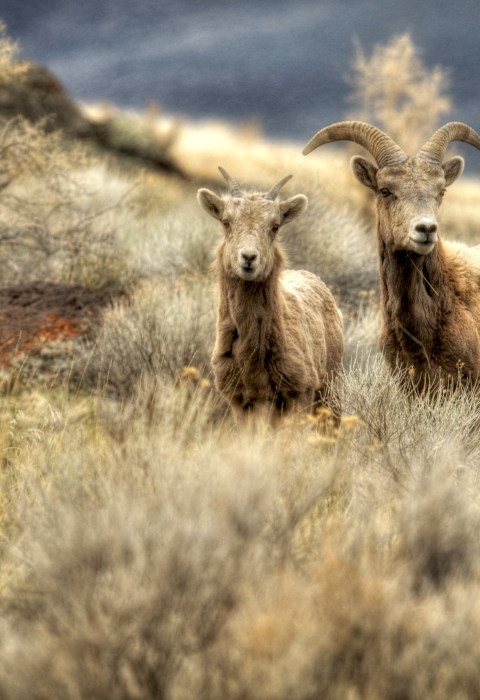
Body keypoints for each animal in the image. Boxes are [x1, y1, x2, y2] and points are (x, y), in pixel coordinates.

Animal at [197, 167, 344, 424]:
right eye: (226, 222)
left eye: (275, 226)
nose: (248, 258)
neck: (251, 358)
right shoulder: (241, 402)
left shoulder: (298, 397)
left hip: (330, 393)